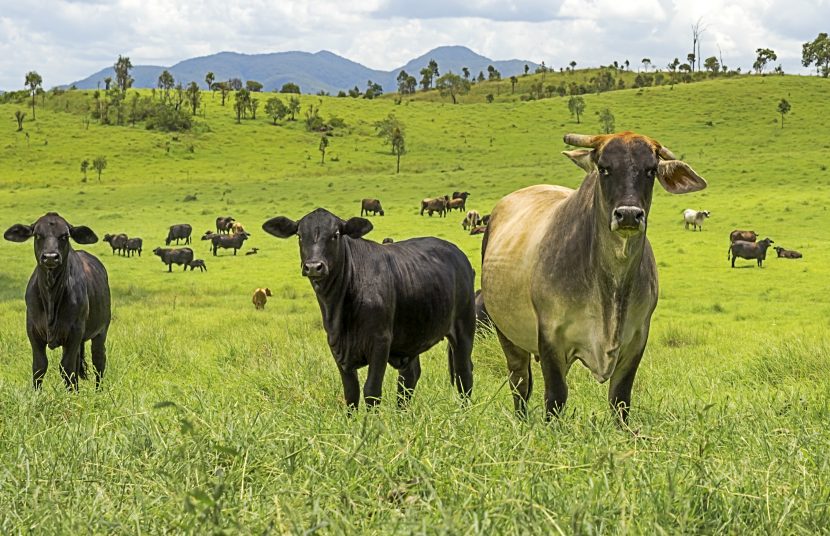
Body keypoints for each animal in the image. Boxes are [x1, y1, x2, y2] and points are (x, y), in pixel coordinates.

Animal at [3, 213, 112, 390]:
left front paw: (72, 395)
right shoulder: (33, 330)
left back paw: (99, 392)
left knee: (99, 361)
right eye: (37, 235)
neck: (51, 295)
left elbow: (67, 368)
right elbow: (39, 367)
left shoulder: (75, 331)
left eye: (65, 236)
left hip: (101, 330)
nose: (50, 257)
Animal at [264, 207, 478, 408]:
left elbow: (371, 390)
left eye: (336, 234)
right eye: (300, 235)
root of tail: (457, 253)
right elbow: (351, 394)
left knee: (464, 373)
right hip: (412, 335)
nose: (314, 266)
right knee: (409, 377)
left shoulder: (380, 341)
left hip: (464, 327)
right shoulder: (336, 346)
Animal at [484, 131, 712, 422]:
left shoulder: (636, 338)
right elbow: (555, 397)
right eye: (604, 168)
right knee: (520, 382)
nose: (629, 215)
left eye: (651, 170)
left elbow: (620, 399)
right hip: (506, 333)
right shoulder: (550, 337)